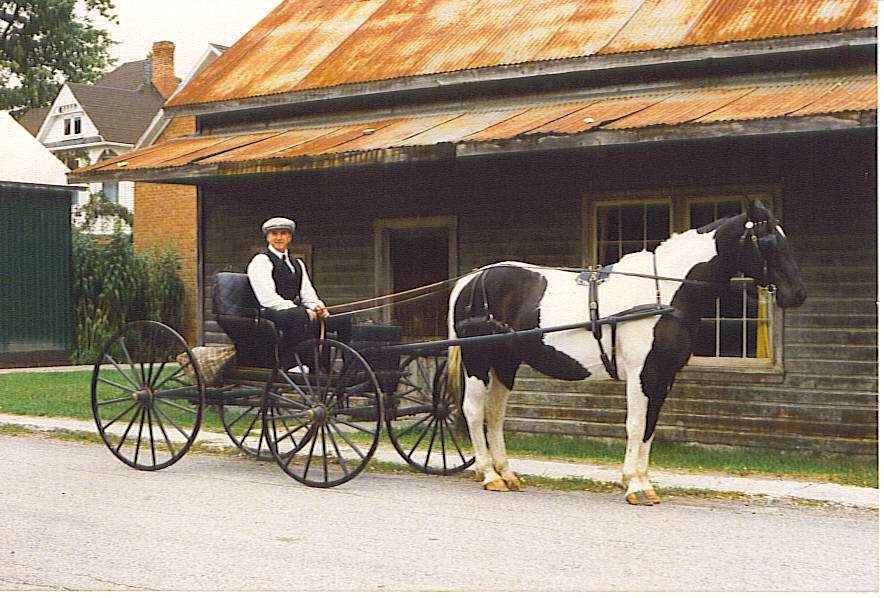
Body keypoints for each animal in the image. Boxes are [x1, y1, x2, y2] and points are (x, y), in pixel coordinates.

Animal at [452, 202, 804, 506]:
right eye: (768, 241)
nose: (797, 294)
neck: (664, 292)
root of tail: (471, 279)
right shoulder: (641, 372)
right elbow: (635, 424)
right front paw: (634, 486)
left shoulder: (664, 373)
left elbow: (650, 426)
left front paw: (643, 483)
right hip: (478, 360)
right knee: (474, 410)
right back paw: (489, 475)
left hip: (505, 362)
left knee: (495, 414)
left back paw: (506, 474)